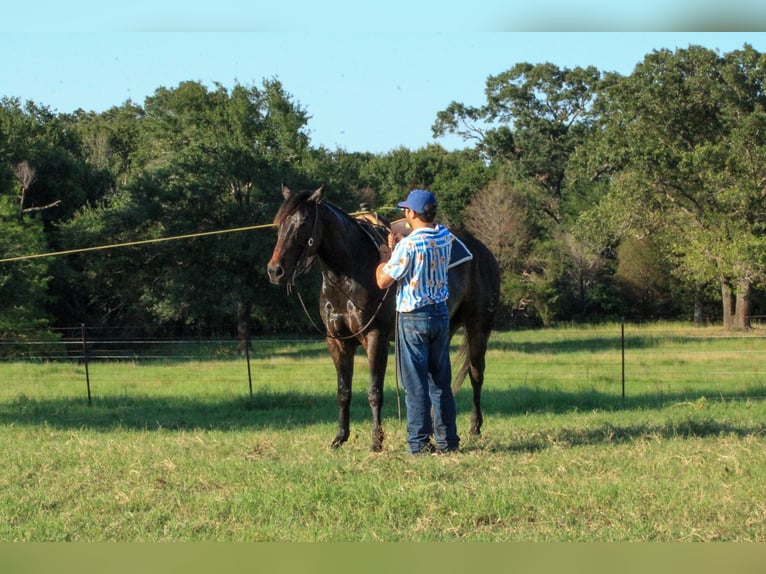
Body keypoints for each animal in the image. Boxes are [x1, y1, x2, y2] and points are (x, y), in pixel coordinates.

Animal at [268, 187, 500, 452]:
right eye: (279, 224)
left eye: (304, 222)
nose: (275, 271)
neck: (349, 273)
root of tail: (483, 252)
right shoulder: (337, 342)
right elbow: (343, 391)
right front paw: (340, 437)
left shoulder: (375, 338)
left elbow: (374, 392)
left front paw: (376, 441)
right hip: (446, 329)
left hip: (479, 327)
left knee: (476, 374)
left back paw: (474, 427)